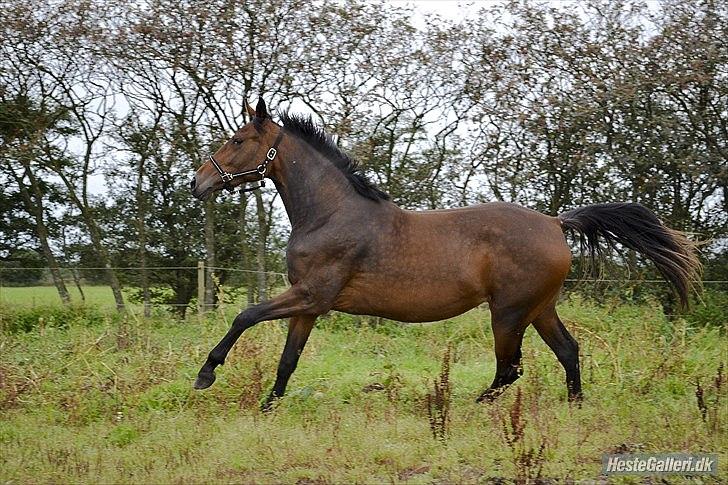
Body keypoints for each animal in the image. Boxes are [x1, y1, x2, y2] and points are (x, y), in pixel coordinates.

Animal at [188, 98, 700, 408]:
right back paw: (574, 407)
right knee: (567, 352)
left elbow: (245, 316)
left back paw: (465, 406)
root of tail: (556, 223)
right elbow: (288, 360)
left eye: (238, 140)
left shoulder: (311, 295)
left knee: (510, 368)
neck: (330, 214)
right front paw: (268, 406)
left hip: (508, 313)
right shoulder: (309, 305)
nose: (198, 182)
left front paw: (205, 374)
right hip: (539, 308)